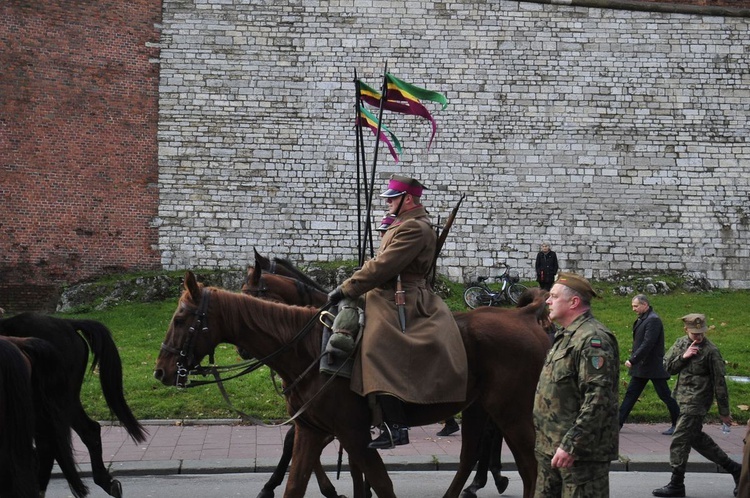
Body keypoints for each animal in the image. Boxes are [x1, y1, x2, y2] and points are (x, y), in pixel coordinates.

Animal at [156, 272, 548, 498]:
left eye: (181, 318)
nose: (161, 371)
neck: (309, 348)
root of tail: (525, 316)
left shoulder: (353, 434)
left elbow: (380, 484)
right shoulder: (312, 430)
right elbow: (296, 481)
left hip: (512, 412)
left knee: (531, 467)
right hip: (480, 408)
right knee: (473, 456)